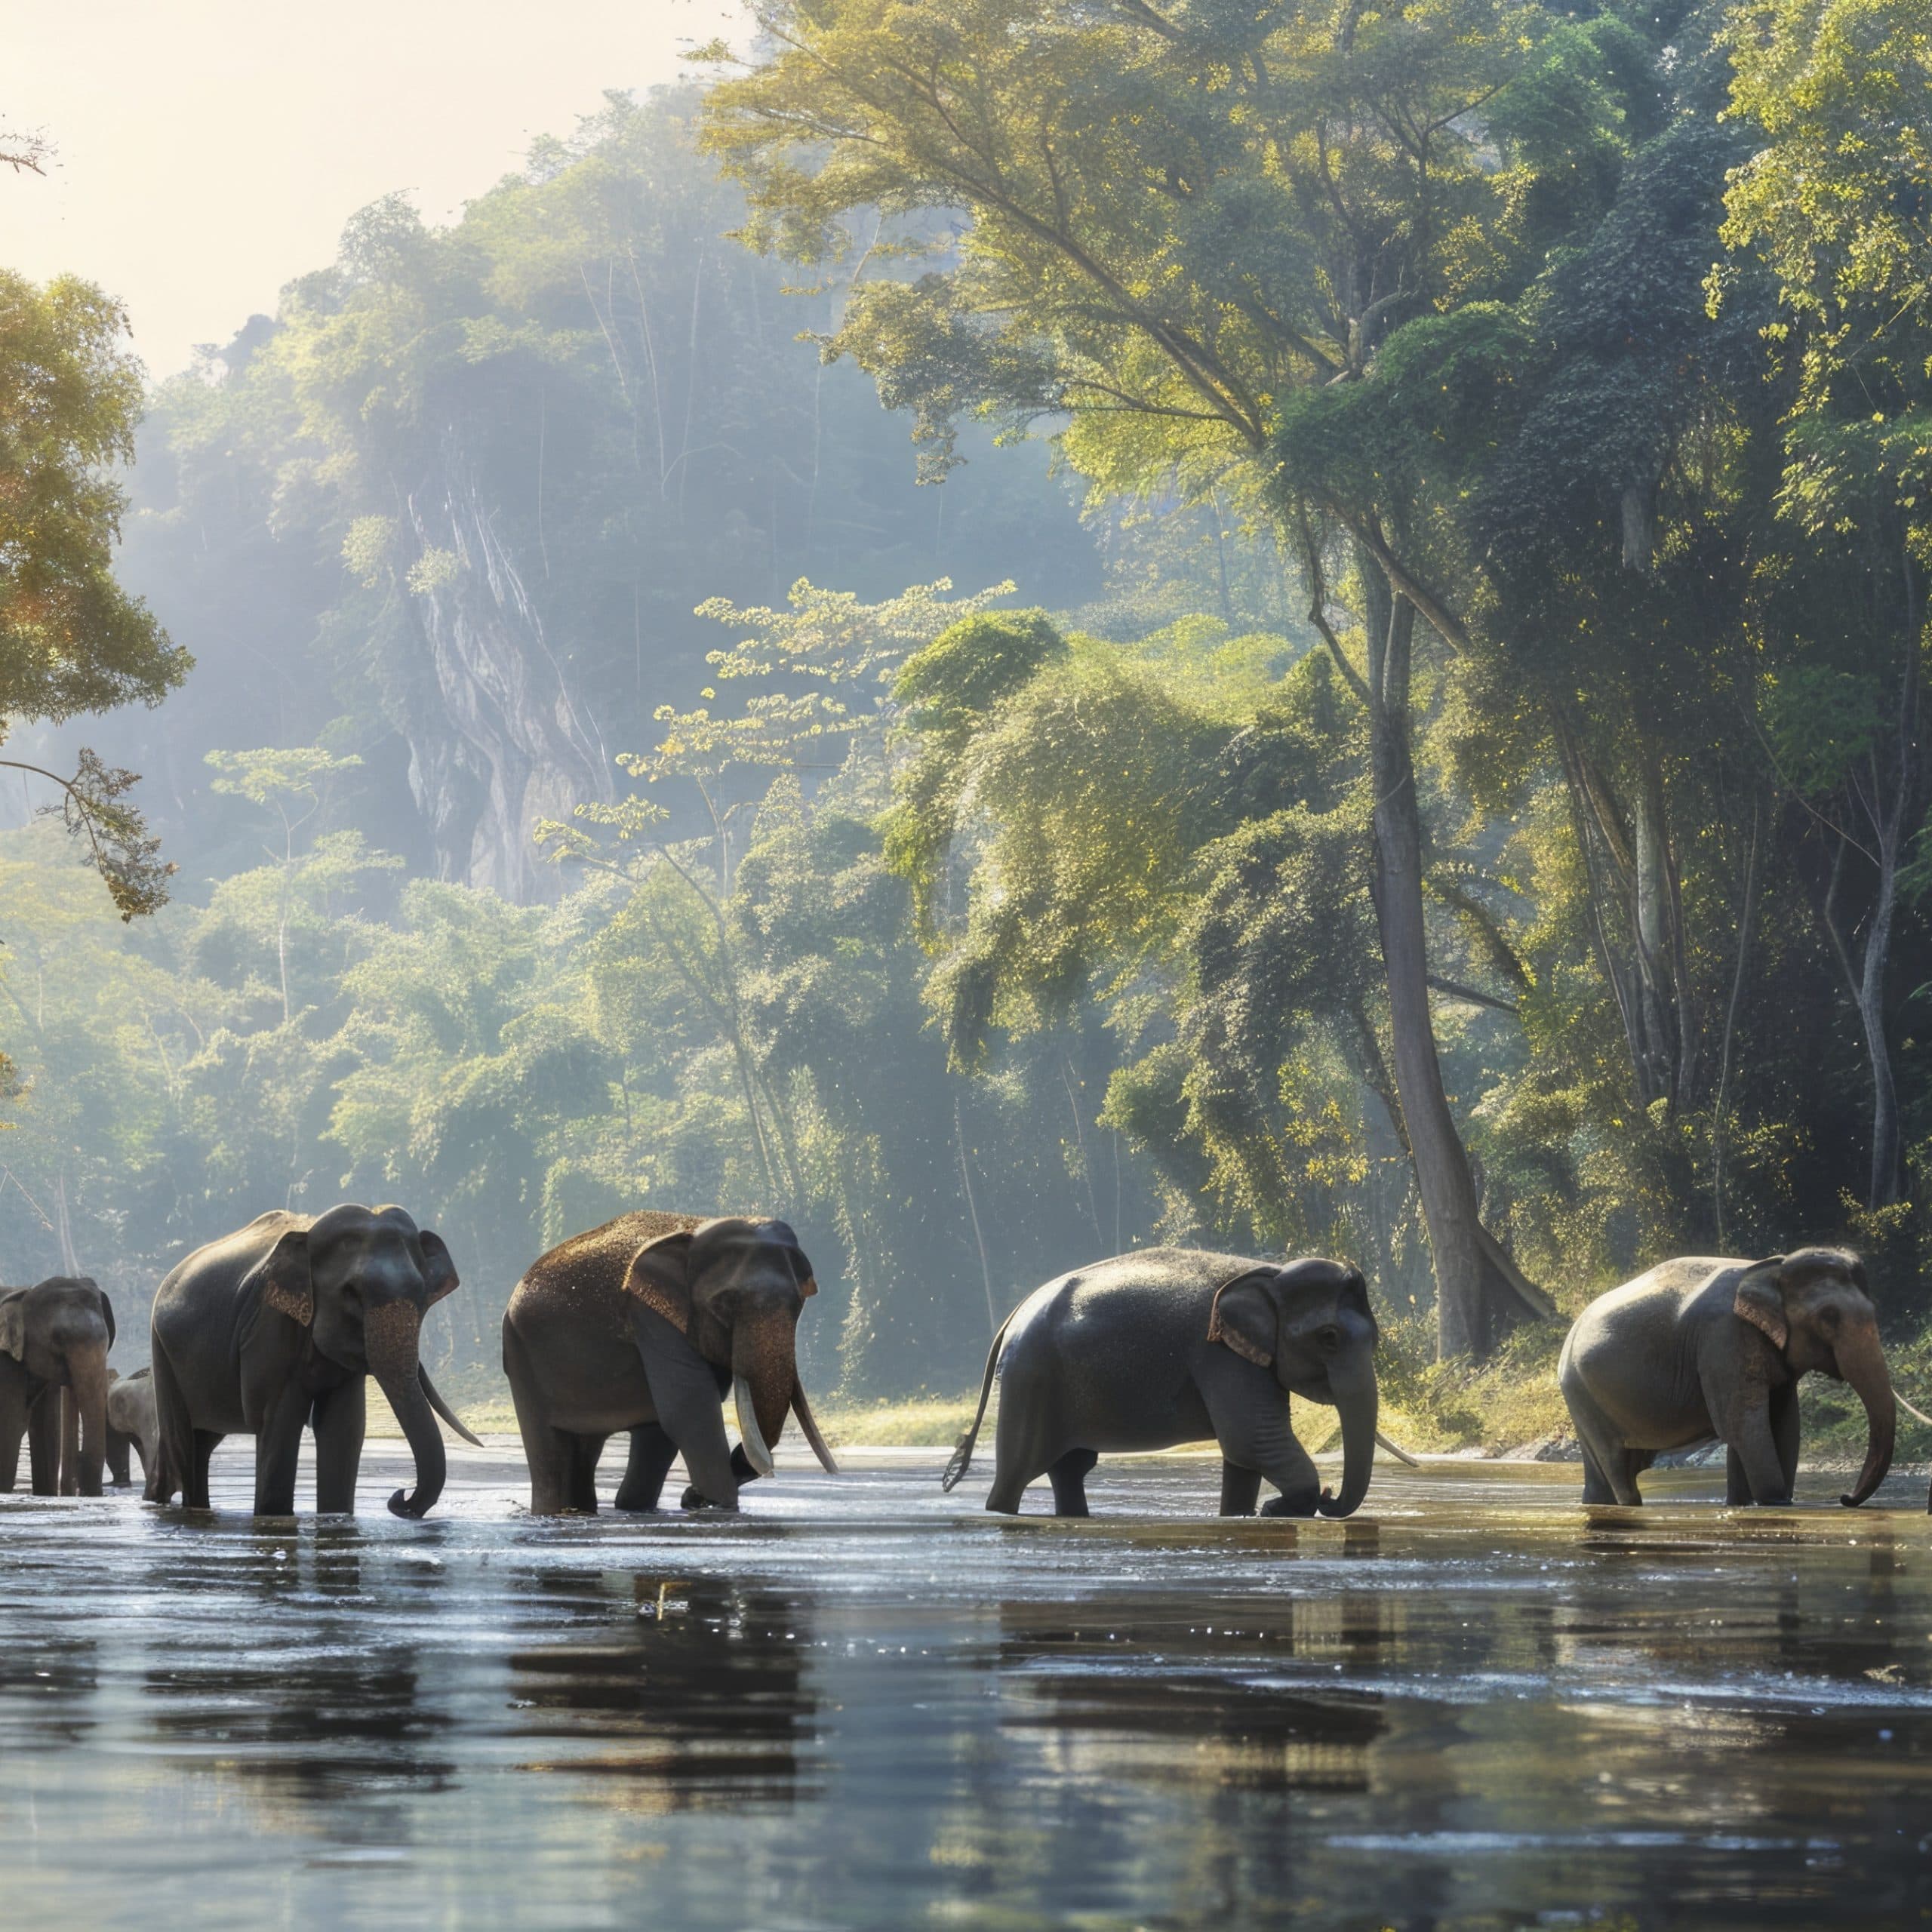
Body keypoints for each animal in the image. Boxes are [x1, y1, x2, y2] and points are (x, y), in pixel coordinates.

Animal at [0, 1277, 116, 1497]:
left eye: (108, 1341)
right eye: (58, 1338)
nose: (78, 1458)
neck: (24, 1294)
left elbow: (46, 1427)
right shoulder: (6, 1362)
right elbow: (12, 1422)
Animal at [148, 1204, 481, 1518]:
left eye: (421, 1293)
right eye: (351, 1293)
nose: (399, 1496)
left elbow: (343, 1427)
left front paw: (336, 1514)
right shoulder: (269, 1324)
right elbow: (279, 1419)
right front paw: (275, 1516)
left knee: (202, 1441)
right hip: (162, 1352)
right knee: (182, 1442)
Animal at [501, 1210, 840, 1515]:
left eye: (799, 1302)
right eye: (725, 1304)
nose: (690, 1497)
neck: (697, 1230)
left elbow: (677, 1415)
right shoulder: (651, 1313)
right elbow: (689, 1408)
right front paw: (722, 1506)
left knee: (628, 1440)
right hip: (522, 1358)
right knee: (550, 1453)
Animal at [944, 1248, 1383, 1518]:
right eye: (1329, 1337)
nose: (1330, 1496)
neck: (1269, 1271)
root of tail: (1016, 1314)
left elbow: (1245, 1454)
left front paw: (1243, 1514)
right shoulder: (1218, 1355)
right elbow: (1253, 1440)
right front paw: (1273, 1509)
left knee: (1070, 1468)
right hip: (1030, 1379)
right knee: (1019, 1471)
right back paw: (1001, 1512)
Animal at [1558, 1247, 1896, 1508]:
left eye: (1874, 1310)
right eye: (1829, 1317)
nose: (1845, 1498)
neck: (1772, 1267)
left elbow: (1783, 1424)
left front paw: (1743, 1504)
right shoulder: (1723, 1338)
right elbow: (1743, 1426)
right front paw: (1774, 1502)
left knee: (1603, 1471)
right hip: (1581, 1392)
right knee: (1615, 1462)